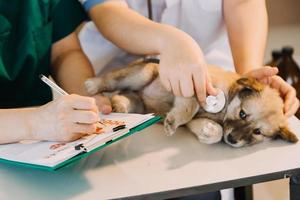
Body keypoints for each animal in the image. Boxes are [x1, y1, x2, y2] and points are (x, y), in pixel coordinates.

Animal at [84, 59, 298, 147]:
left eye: (258, 132)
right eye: (242, 114)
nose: (232, 140)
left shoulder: (194, 121)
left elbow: (212, 130)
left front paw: (208, 132)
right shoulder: (191, 87)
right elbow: (189, 108)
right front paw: (173, 122)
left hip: (140, 103)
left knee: (123, 96)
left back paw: (120, 105)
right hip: (142, 75)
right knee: (112, 79)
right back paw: (93, 84)